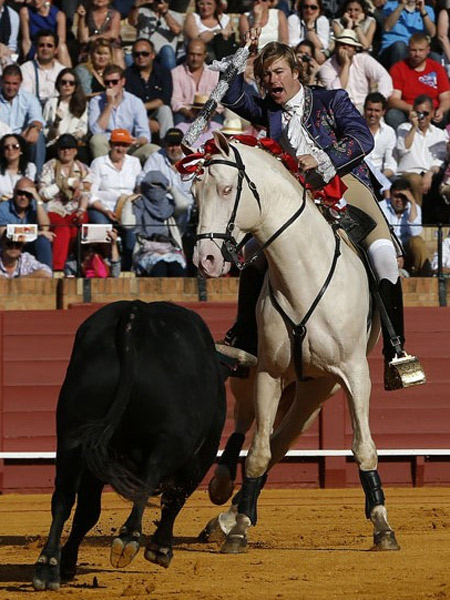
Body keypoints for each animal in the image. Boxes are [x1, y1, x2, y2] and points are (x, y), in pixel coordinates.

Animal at [33, 300, 226, 591]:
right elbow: (175, 497)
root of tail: (136, 313)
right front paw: (160, 549)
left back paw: (47, 567)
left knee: (63, 498)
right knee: (150, 479)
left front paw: (67, 563)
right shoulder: (198, 460)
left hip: (72, 435)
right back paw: (128, 539)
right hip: (170, 439)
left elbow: (87, 512)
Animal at [190, 131, 400, 554]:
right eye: (194, 193)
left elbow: (363, 447)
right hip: (255, 375)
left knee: (281, 438)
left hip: (315, 391)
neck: (301, 273)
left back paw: (229, 512)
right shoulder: (269, 373)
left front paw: (382, 526)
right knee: (248, 425)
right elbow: (256, 452)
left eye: (226, 189)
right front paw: (239, 529)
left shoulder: (354, 375)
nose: (205, 259)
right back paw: (223, 491)